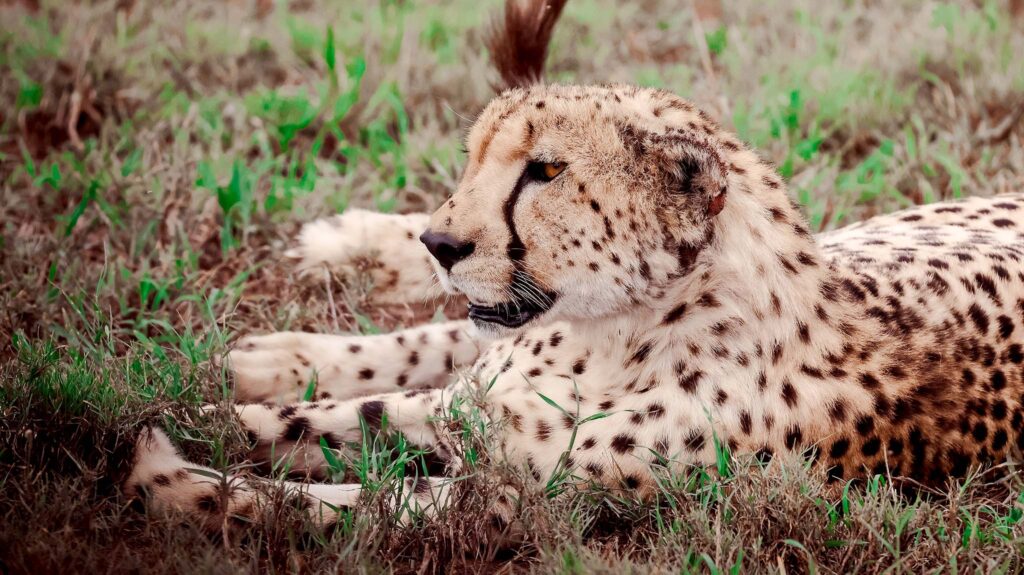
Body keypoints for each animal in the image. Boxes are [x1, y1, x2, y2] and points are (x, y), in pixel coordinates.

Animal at [126, 0, 1024, 531]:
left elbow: (337, 497)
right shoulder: (463, 410)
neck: (617, 335)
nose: (445, 242)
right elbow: (303, 421)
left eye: (546, 171)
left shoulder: (511, 496)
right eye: (475, 158)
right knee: (436, 335)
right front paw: (155, 419)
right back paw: (311, 295)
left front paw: (161, 477)